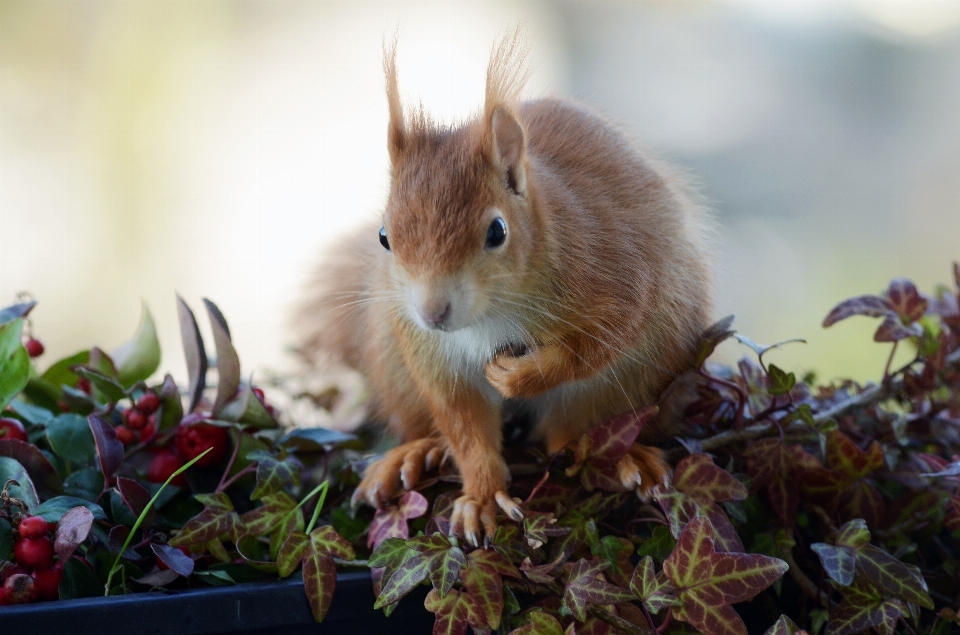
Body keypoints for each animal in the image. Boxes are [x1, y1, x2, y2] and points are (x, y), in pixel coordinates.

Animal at [298, 33, 712, 548]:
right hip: (394, 363)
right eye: (383, 237)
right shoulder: (436, 357)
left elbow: (596, 345)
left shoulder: (617, 274)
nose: (432, 312)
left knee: (580, 433)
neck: (489, 317)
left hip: (644, 372)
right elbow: (465, 423)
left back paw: (621, 456)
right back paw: (411, 454)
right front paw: (481, 496)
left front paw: (518, 377)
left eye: (497, 231)